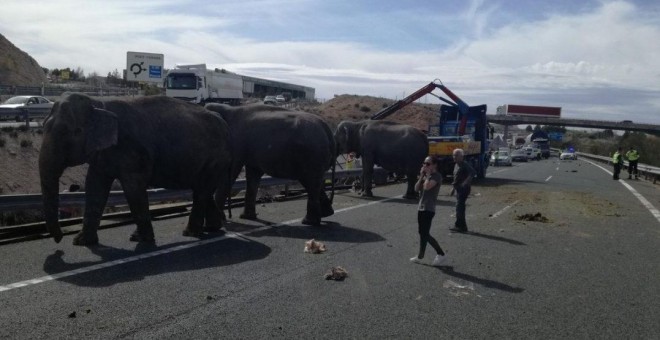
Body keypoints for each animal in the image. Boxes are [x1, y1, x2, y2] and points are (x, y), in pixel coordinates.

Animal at [40, 94, 232, 246]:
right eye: (43, 127)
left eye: (74, 132)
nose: (59, 239)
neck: (99, 104)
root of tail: (224, 123)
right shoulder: (103, 154)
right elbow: (94, 187)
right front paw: (81, 242)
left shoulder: (132, 151)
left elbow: (133, 188)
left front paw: (141, 239)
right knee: (202, 190)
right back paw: (212, 228)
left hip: (215, 158)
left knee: (201, 191)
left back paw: (191, 232)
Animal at [204, 103, 336, 226]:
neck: (228, 109)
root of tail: (326, 128)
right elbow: (253, 176)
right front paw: (246, 217)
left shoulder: (237, 144)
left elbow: (231, 174)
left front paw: (222, 219)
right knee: (314, 183)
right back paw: (326, 214)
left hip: (311, 155)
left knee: (310, 183)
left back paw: (308, 222)